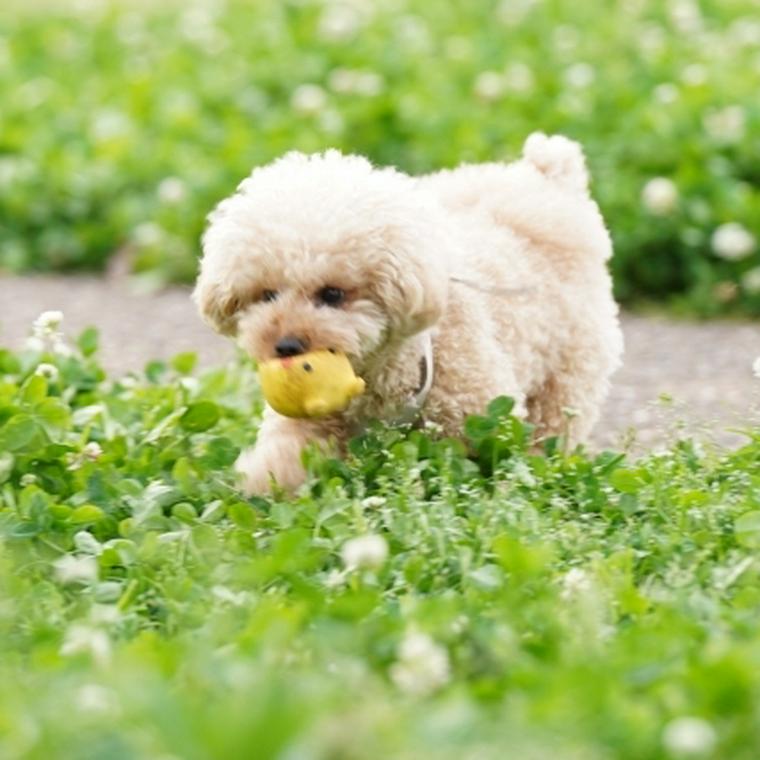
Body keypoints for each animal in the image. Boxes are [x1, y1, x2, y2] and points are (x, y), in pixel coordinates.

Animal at [193, 134, 620, 496]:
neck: (378, 370)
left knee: (552, 426)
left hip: (569, 369)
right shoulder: (313, 420)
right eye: (267, 295)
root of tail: (548, 178)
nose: (285, 346)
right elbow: (289, 456)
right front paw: (263, 487)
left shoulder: (477, 412)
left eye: (333, 294)